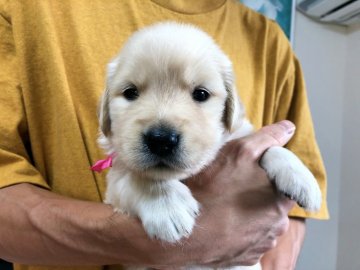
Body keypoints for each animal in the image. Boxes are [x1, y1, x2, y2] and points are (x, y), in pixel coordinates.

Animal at [95, 21, 320, 270]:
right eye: (130, 92)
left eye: (201, 94)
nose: (161, 139)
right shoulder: (115, 177)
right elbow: (136, 177)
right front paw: (168, 206)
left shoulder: (240, 136)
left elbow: (268, 147)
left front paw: (301, 178)